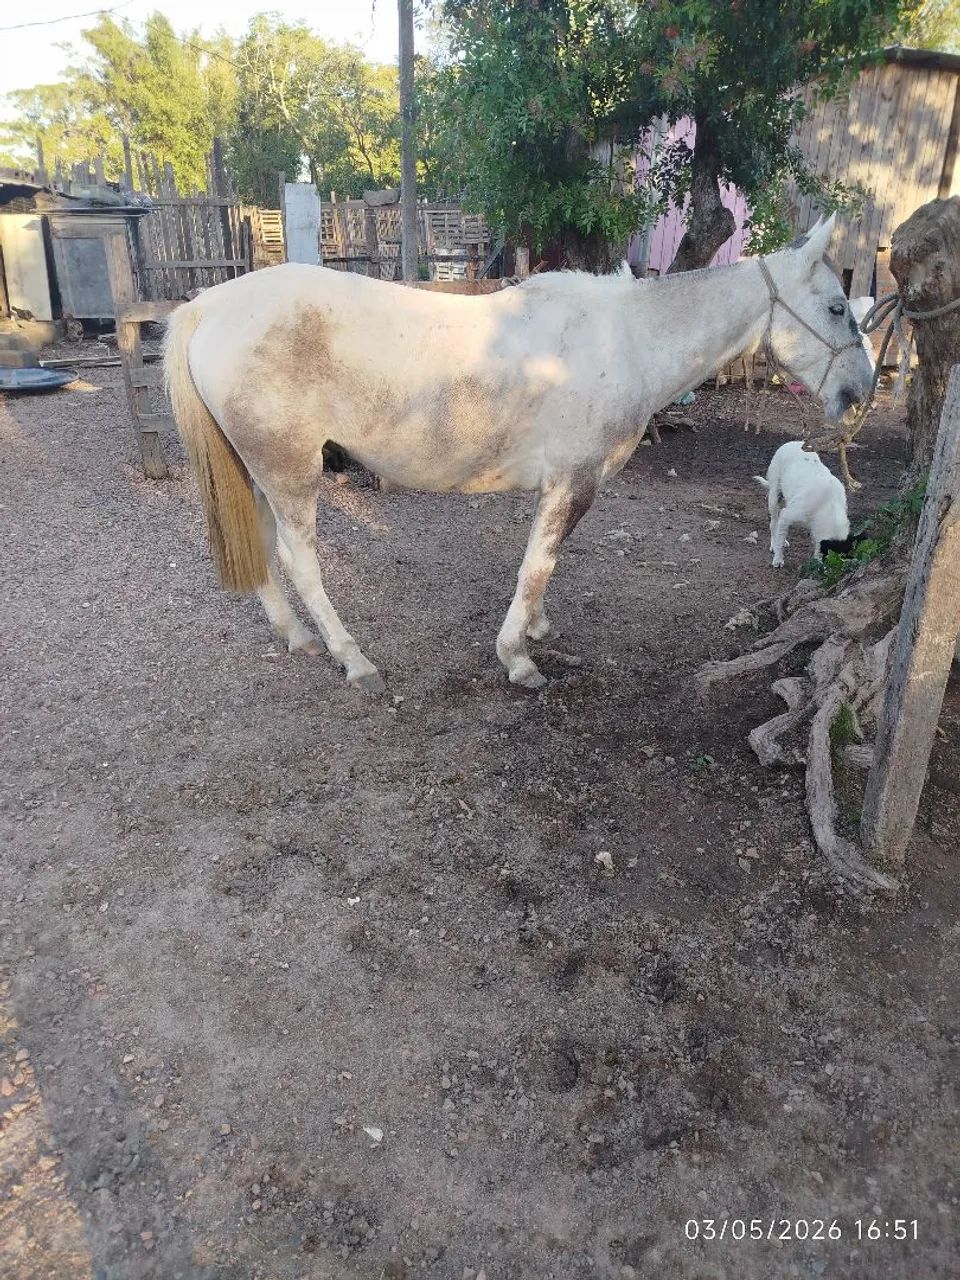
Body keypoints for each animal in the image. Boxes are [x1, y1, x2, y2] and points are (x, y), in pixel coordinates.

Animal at [163, 215, 872, 693]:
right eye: (838, 307)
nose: (861, 389)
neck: (627, 339)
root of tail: (209, 306)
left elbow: (543, 566)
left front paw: (535, 629)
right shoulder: (571, 484)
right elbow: (538, 564)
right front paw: (518, 658)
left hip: (257, 472)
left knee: (261, 548)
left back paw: (297, 638)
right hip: (290, 472)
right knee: (300, 561)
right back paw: (352, 658)